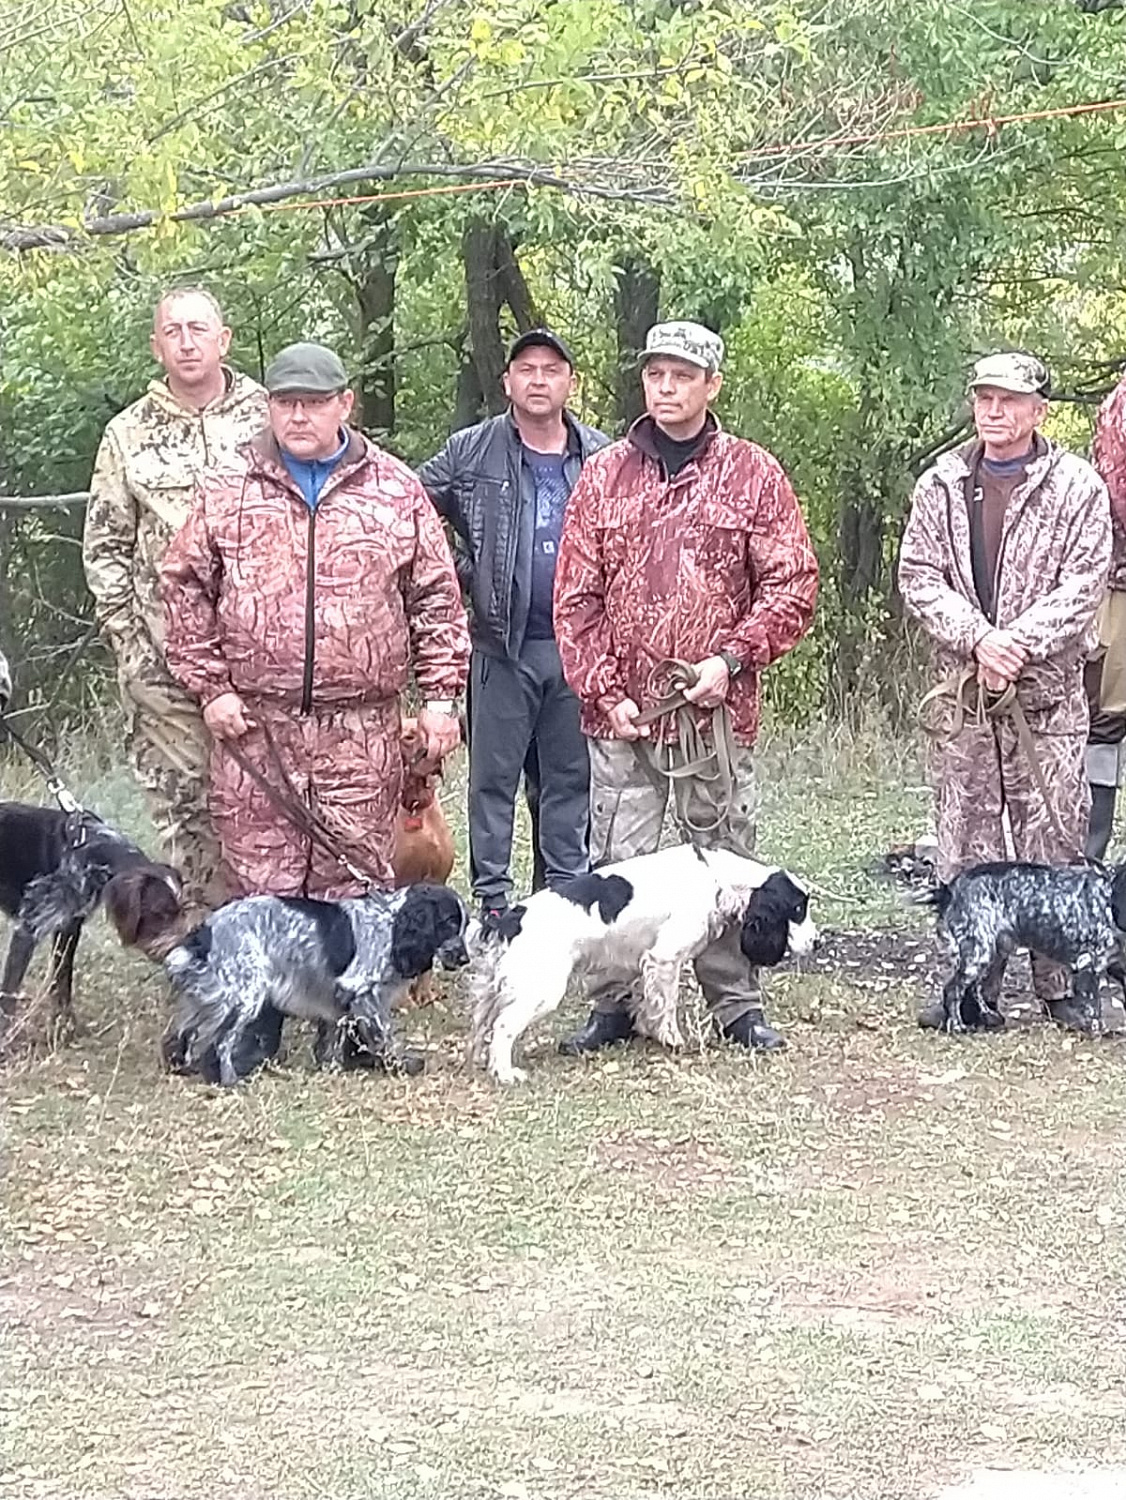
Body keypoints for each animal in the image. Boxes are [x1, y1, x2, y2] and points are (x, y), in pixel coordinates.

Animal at [0, 804, 182, 1038]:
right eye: (159, 912)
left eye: (179, 913)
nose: (178, 951)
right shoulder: (29, 929)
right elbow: (9, 994)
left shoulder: (68, 929)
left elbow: (62, 982)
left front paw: (65, 1028)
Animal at [162, 876, 470, 1092]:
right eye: (449, 923)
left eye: (464, 924)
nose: (465, 958)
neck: (392, 923)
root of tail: (205, 932)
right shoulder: (359, 989)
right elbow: (382, 1034)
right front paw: (398, 1064)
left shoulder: (339, 997)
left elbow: (337, 1034)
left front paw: (335, 1065)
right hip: (246, 994)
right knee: (221, 1041)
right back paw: (229, 1079)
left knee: (186, 1031)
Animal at [467, 846, 821, 1080]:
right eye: (797, 909)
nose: (818, 942)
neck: (716, 877)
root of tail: (511, 919)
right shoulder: (665, 956)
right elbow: (666, 1004)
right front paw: (672, 1039)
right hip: (541, 989)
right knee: (502, 1027)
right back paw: (506, 1073)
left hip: (494, 988)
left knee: (483, 1024)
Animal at [923, 864, 1126, 1038]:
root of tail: (949, 890)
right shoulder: (1088, 964)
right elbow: (1094, 1008)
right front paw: (1098, 1031)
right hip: (978, 952)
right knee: (953, 990)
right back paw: (957, 1026)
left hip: (991, 951)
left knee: (973, 988)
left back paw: (987, 1016)